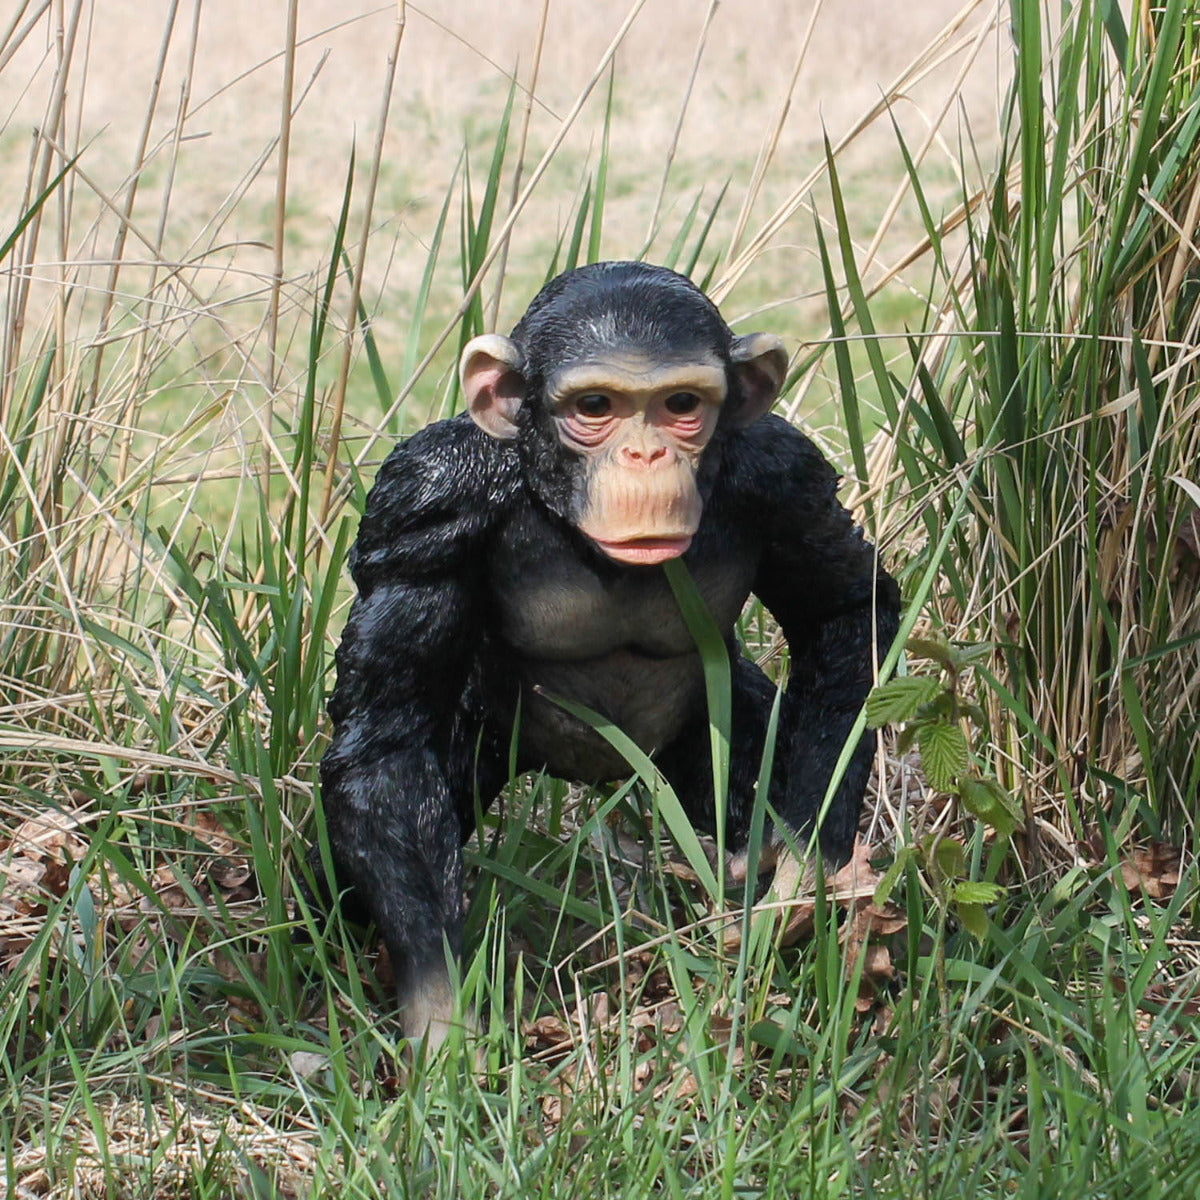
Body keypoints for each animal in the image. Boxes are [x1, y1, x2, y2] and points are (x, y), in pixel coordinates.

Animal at [317, 261, 900, 1048]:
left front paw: (797, 879)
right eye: (595, 405)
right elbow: (387, 737)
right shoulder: (428, 497)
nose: (645, 454)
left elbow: (842, 611)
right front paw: (445, 1024)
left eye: (681, 404)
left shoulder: (786, 475)